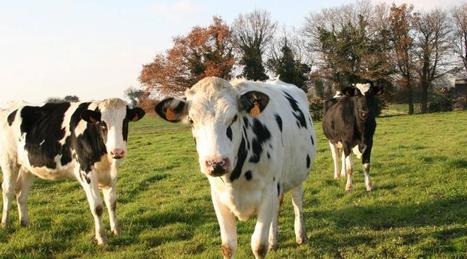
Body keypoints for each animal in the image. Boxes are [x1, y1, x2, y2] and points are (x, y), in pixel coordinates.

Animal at [0, 98, 144, 245]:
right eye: (102, 124)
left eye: (125, 122)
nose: (117, 152)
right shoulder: (86, 172)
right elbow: (97, 207)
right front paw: (101, 238)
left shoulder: (111, 174)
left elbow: (112, 204)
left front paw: (117, 231)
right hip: (8, 161)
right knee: (7, 191)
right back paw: (5, 224)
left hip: (27, 167)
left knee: (21, 194)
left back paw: (25, 223)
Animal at [155, 77, 316, 259]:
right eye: (191, 120)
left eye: (234, 117)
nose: (216, 163)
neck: (235, 180)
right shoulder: (218, 197)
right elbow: (228, 246)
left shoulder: (268, 193)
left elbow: (258, 246)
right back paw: (273, 241)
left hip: (298, 175)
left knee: (297, 203)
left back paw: (301, 236)